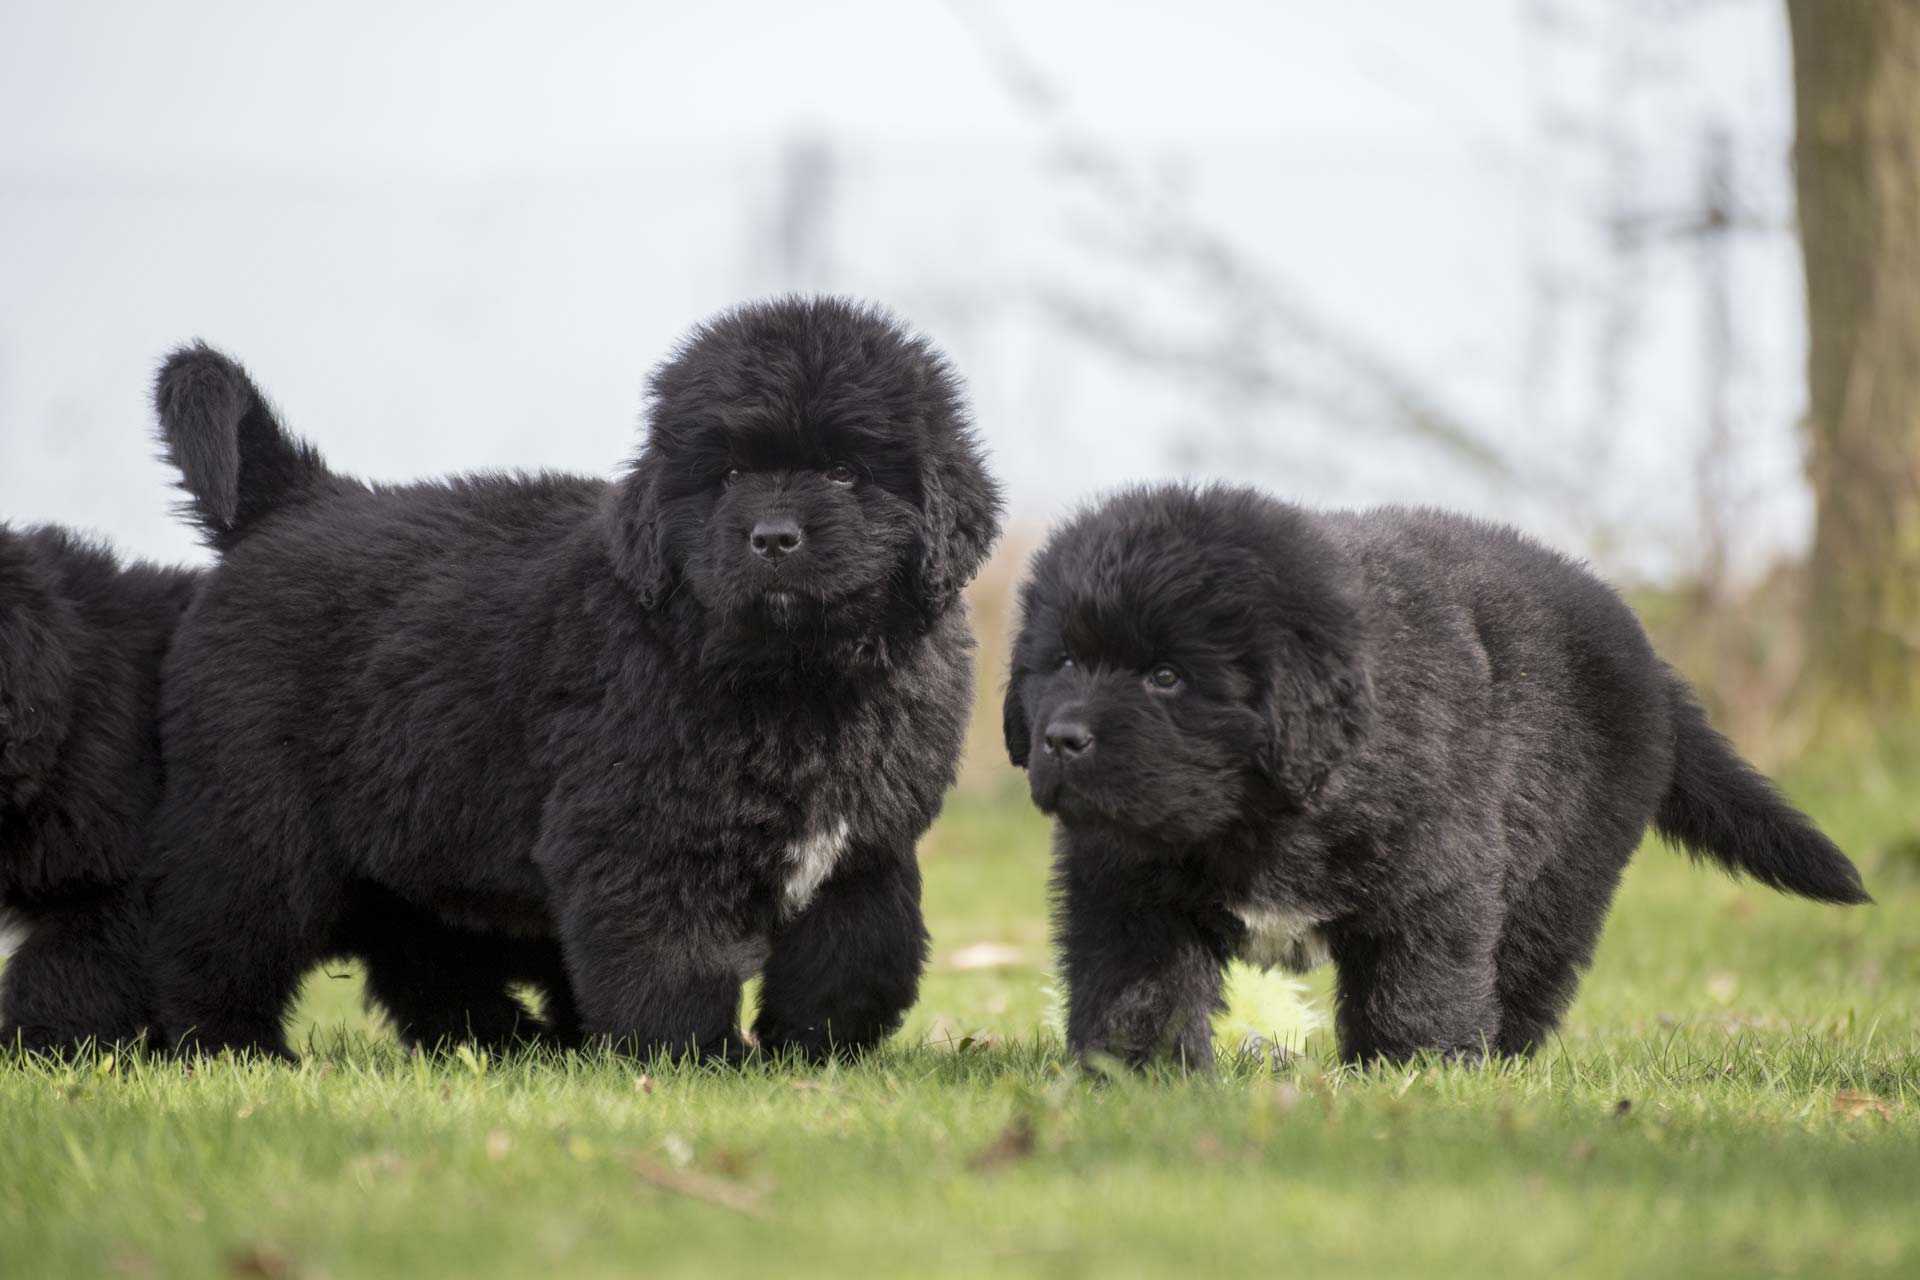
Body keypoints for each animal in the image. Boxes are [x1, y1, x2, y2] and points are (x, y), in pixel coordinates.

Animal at [145, 297, 1006, 1059]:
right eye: (728, 474)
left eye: (844, 470)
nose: (773, 538)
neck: (799, 679)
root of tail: (290, 501)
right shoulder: (644, 833)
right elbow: (671, 957)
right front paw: (697, 1059)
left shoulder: (864, 848)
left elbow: (860, 951)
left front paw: (815, 1049)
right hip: (259, 821)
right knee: (217, 938)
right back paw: (235, 1050)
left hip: (412, 819)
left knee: (416, 950)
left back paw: (501, 1043)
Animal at [998, 485, 1866, 1066]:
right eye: (1064, 662)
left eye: (1168, 677)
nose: (1062, 739)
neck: (1263, 812)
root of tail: (1649, 660)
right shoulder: (1127, 883)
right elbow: (1139, 982)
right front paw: (1137, 1076)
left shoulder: (1436, 871)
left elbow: (1420, 980)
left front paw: (1410, 1073)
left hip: (1563, 872)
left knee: (1528, 968)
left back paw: (1498, 1059)